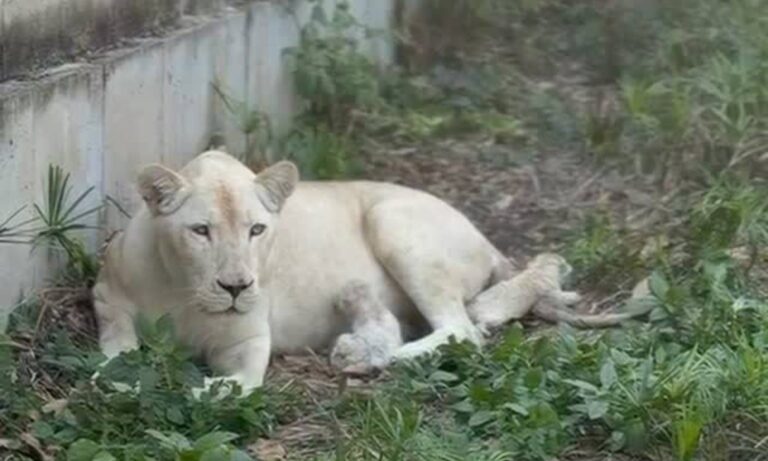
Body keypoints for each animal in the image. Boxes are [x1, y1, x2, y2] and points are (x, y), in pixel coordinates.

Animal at [93, 151, 649, 392]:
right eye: (201, 231)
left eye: (256, 230)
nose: (236, 287)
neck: (185, 290)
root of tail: (485, 239)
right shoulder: (105, 292)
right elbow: (118, 338)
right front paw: (115, 372)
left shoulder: (249, 341)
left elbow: (240, 382)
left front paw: (204, 391)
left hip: (392, 219)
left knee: (463, 331)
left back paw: (383, 356)